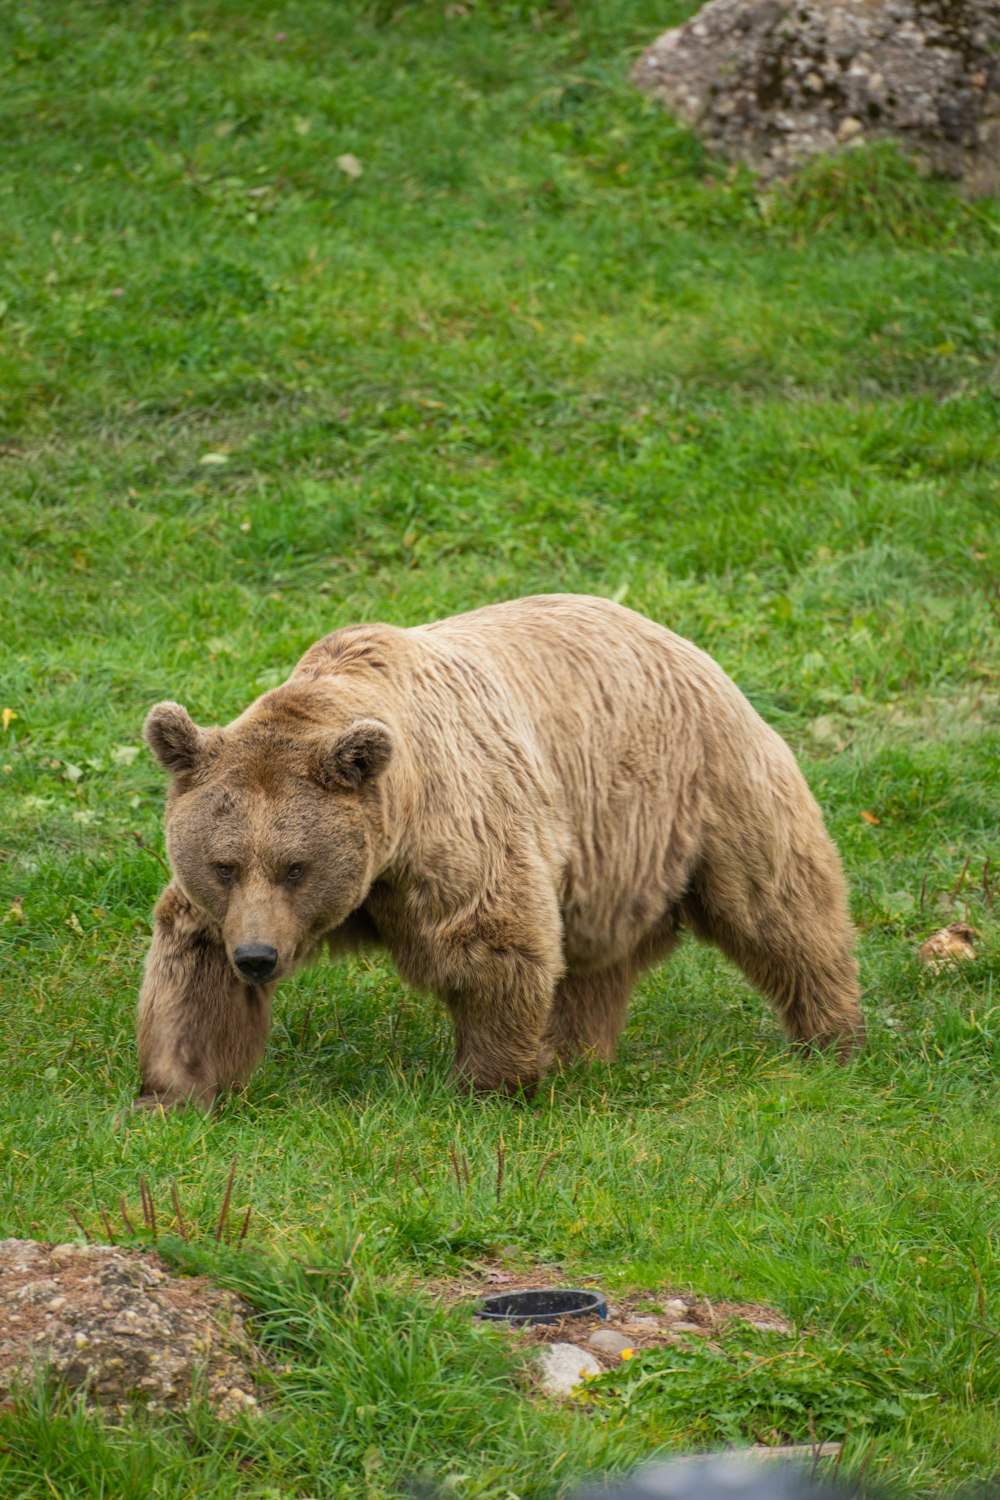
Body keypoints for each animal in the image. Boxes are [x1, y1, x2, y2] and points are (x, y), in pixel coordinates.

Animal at [137, 591, 863, 1110]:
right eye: (225, 865)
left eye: (297, 866)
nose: (258, 957)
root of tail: (677, 638)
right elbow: (192, 958)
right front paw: (175, 1086)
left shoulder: (455, 832)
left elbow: (491, 941)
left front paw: (489, 1081)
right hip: (609, 855)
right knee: (592, 961)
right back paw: (576, 1052)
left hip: (701, 790)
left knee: (780, 908)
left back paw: (831, 1035)